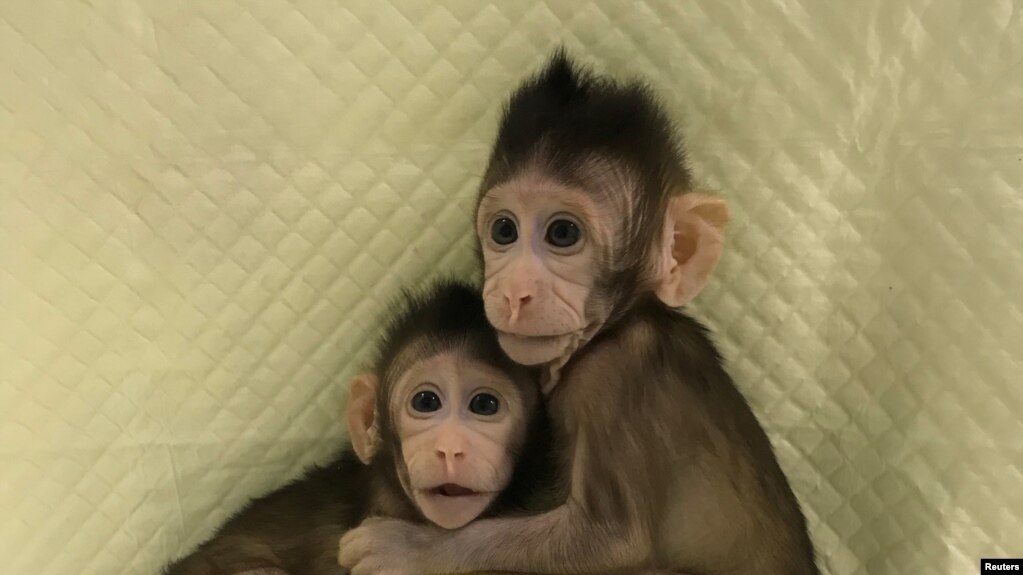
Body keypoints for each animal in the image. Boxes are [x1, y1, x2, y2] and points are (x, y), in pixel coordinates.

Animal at [339, 51, 818, 568]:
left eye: (563, 234)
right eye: (504, 230)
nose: (515, 292)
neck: (616, 326)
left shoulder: (615, 377)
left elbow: (609, 537)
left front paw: (406, 550)